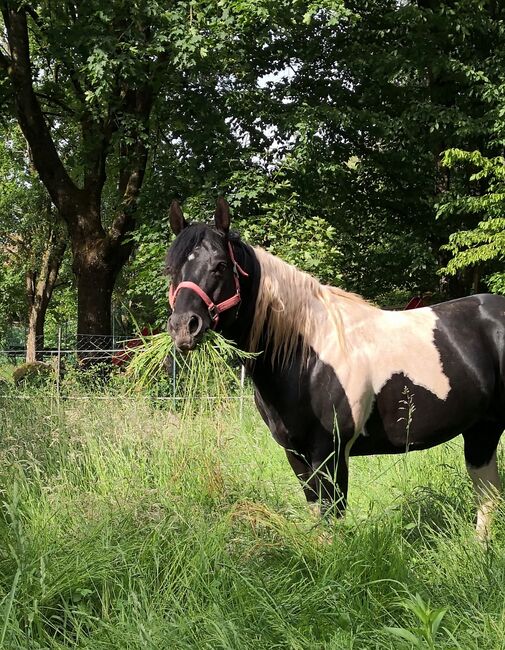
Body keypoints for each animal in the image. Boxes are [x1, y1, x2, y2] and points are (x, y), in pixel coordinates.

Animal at [165, 197, 504, 536]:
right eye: (170, 269)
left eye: (220, 265)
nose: (184, 327)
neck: (307, 356)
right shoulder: (297, 456)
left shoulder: (330, 454)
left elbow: (332, 521)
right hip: (482, 429)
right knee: (488, 494)